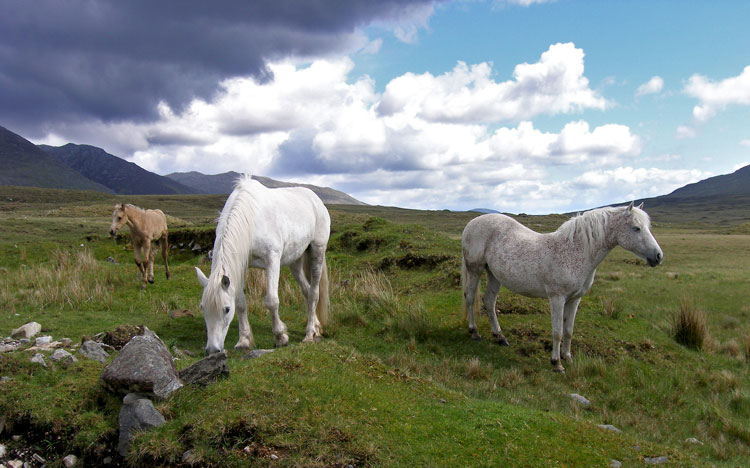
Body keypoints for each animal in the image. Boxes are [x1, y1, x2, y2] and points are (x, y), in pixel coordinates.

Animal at [195, 176, 330, 354]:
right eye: (202, 308)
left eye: (226, 309)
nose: (212, 349)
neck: (250, 218)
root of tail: (316, 200)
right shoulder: (242, 265)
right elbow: (241, 303)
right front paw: (244, 340)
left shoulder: (272, 259)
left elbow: (272, 301)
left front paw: (280, 337)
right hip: (295, 261)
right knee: (307, 291)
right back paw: (316, 327)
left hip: (317, 251)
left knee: (314, 293)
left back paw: (309, 335)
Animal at [464, 203, 664, 372]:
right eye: (636, 228)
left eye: (648, 227)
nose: (658, 256)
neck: (575, 251)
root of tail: (472, 223)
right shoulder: (557, 298)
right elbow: (557, 332)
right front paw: (557, 363)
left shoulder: (575, 299)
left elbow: (568, 330)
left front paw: (568, 357)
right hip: (475, 270)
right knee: (470, 298)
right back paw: (474, 332)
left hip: (494, 275)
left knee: (489, 301)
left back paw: (500, 337)